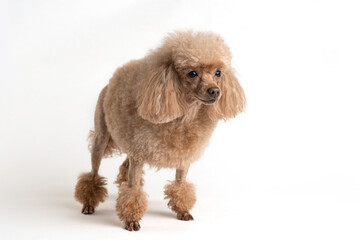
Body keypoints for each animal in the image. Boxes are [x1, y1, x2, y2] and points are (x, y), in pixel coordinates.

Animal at [74, 30, 246, 231]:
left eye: (218, 73)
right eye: (192, 73)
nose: (215, 91)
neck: (183, 116)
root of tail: (108, 86)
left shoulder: (182, 156)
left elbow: (180, 185)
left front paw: (182, 211)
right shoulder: (138, 154)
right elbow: (133, 191)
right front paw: (131, 219)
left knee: (125, 166)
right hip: (101, 139)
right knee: (93, 172)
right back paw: (88, 203)